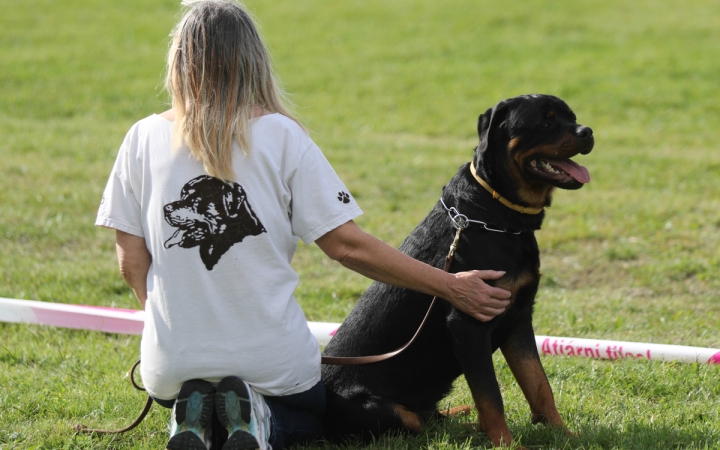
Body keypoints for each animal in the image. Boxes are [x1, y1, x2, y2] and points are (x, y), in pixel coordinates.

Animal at [324, 94, 592, 446]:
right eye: (546, 122)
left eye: (572, 117)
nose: (588, 131)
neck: (499, 217)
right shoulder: (468, 324)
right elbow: (491, 396)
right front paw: (506, 444)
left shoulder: (519, 316)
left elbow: (538, 383)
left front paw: (564, 434)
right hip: (380, 409)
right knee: (418, 422)